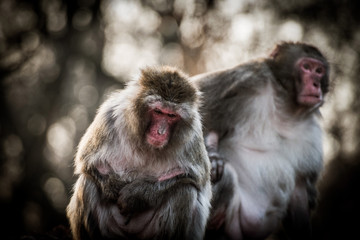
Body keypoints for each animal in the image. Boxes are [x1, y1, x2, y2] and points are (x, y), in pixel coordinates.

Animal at [66, 65, 212, 240]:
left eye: (171, 115)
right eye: (158, 111)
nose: (161, 132)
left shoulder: (193, 135)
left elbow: (194, 177)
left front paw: (137, 195)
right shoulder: (110, 116)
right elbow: (88, 162)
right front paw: (113, 187)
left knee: (184, 190)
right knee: (88, 183)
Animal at [191, 42, 330, 239]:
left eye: (319, 70)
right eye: (306, 67)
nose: (316, 84)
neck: (286, 108)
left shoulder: (311, 135)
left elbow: (300, 193)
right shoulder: (248, 78)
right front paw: (213, 156)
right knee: (224, 177)